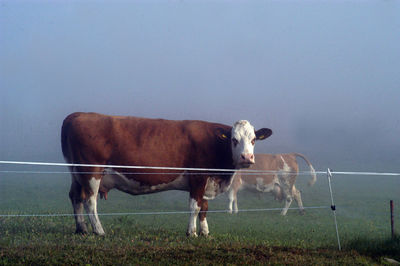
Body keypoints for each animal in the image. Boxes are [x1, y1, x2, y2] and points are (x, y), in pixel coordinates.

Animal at [61, 111, 272, 235]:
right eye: (234, 140)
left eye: (254, 140)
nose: (246, 157)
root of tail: (80, 114)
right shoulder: (198, 177)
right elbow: (195, 207)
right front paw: (191, 232)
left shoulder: (206, 182)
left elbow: (204, 207)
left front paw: (205, 232)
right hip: (91, 172)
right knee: (90, 201)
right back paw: (99, 230)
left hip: (76, 173)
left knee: (75, 197)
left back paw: (81, 228)